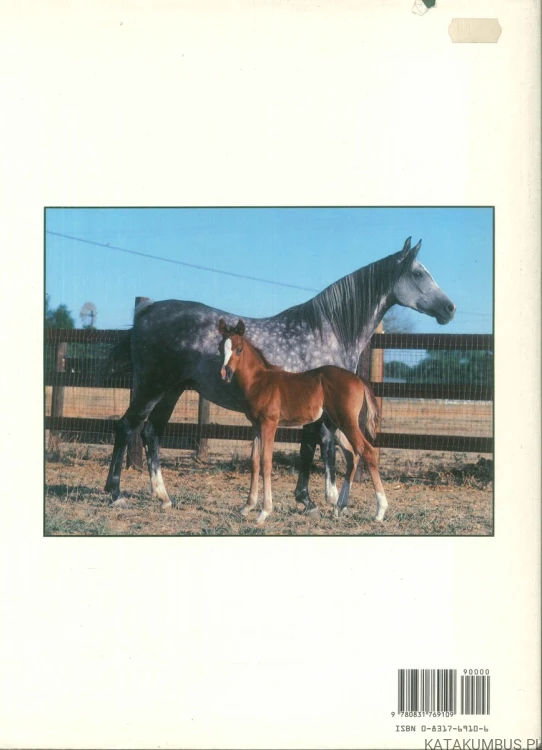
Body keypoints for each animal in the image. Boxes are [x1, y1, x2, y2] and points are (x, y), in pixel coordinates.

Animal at [218, 318, 386, 525]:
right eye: (220, 348)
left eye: (239, 349)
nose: (225, 373)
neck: (259, 381)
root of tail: (357, 378)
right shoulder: (256, 426)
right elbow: (254, 462)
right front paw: (247, 507)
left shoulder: (269, 424)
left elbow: (266, 462)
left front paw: (264, 512)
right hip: (337, 425)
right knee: (352, 455)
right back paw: (338, 508)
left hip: (348, 423)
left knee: (367, 452)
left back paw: (379, 511)